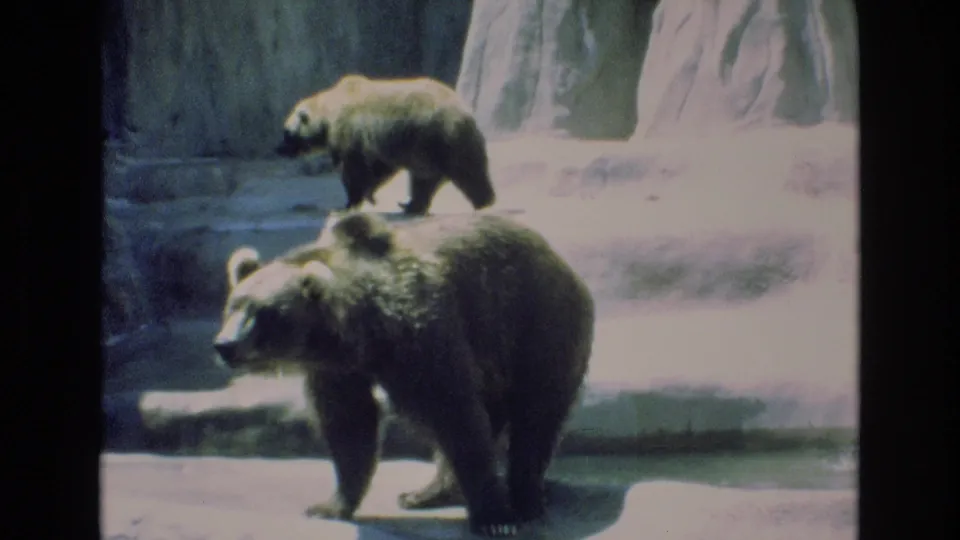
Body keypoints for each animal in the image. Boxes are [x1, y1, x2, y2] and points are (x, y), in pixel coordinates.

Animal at [212, 211, 595, 537]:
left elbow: (455, 415)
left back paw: (526, 499)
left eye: (264, 313)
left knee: (536, 417)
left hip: (538, 328)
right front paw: (329, 505)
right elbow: (349, 425)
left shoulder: (421, 338)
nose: (225, 345)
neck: (363, 331)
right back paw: (425, 493)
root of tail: (564, 264)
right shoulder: (336, 369)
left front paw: (494, 518)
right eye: (233, 305)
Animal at [275, 74, 497, 216]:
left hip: (440, 134)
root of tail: (466, 109)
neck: (327, 114)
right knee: (424, 179)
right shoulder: (379, 142)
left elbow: (354, 168)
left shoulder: (350, 131)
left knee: (467, 171)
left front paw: (348, 203)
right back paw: (410, 205)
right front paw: (369, 196)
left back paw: (484, 202)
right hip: (424, 147)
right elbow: (378, 168)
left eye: (286, 132)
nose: (279, 149)